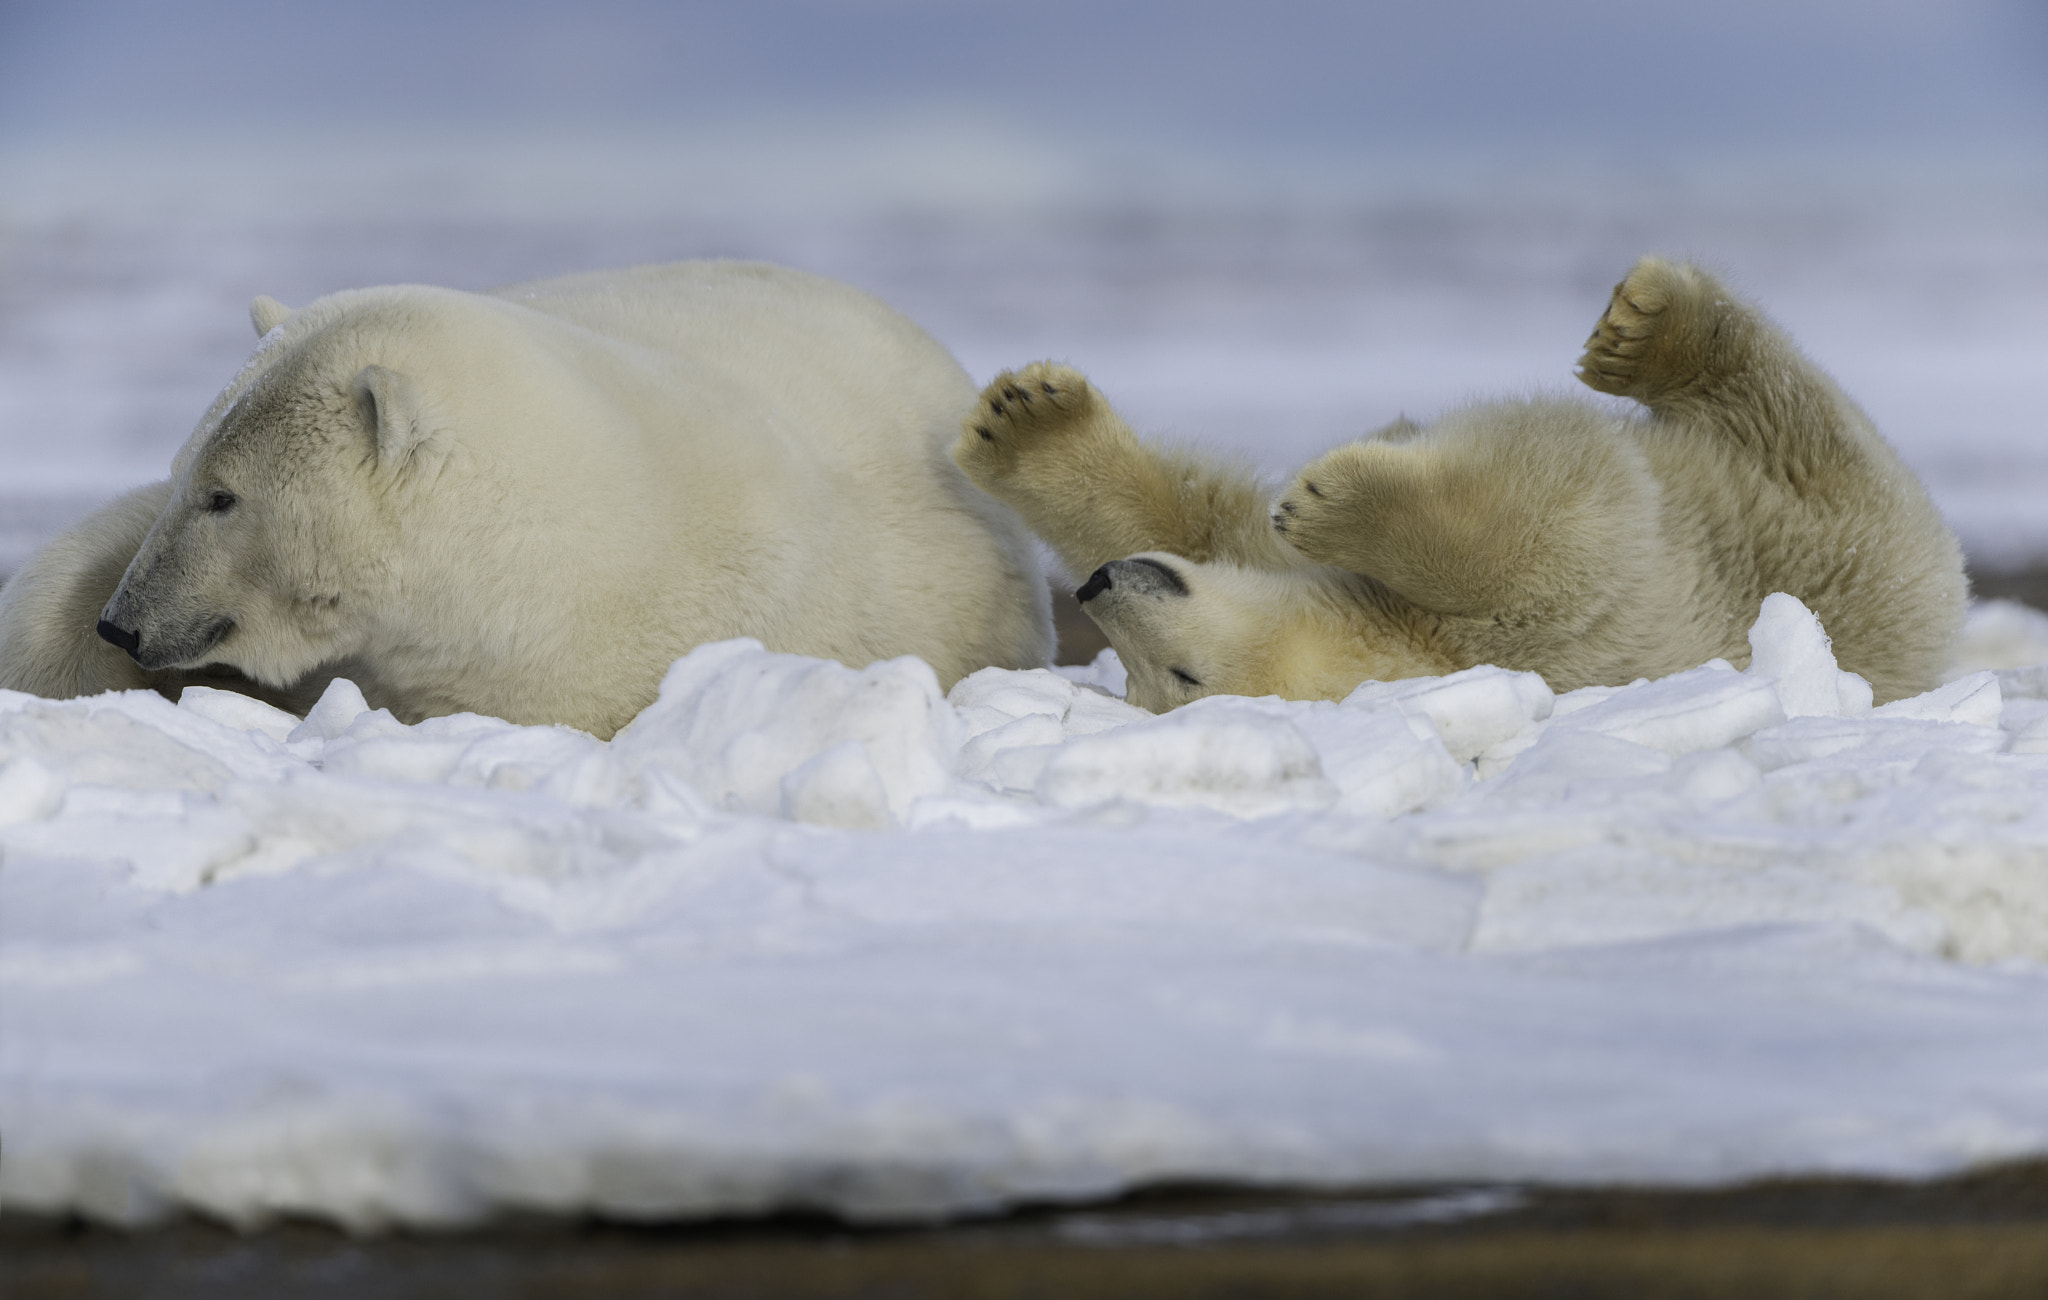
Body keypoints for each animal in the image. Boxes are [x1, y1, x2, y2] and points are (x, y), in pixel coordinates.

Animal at [958, 255, 1966, 716]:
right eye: (1141, 682)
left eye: (1181, 674)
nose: (1097, 587)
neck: (1421, 649)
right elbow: (1200, 518)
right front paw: (1026, 426)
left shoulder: (1549, 626)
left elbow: (1552, 530)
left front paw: (1336, 500)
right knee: (1784, 407)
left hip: (1843, 540)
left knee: (1787, 406)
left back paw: (1644, 328)